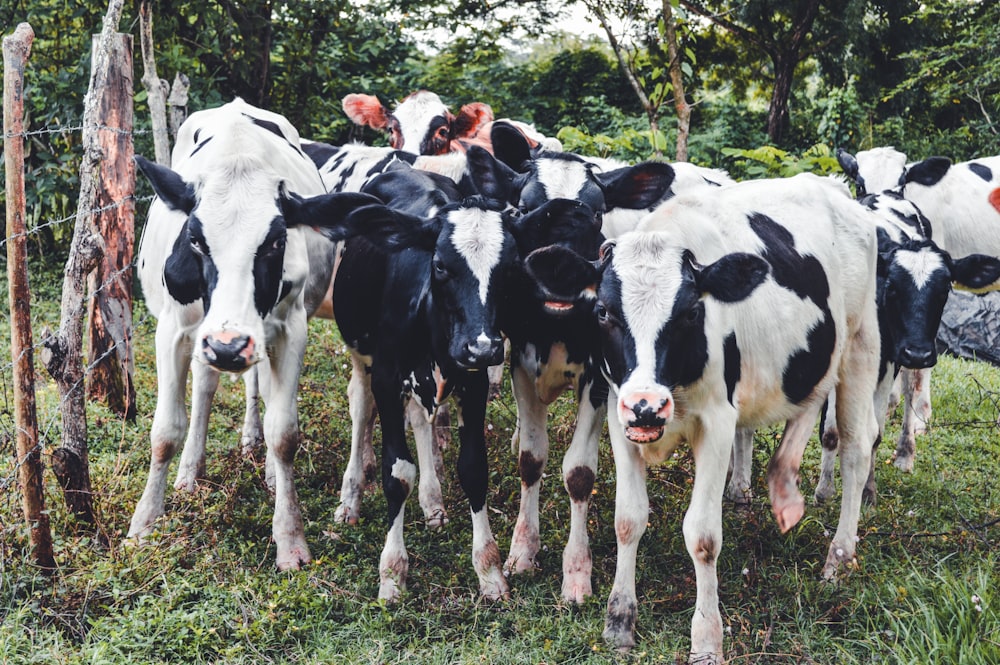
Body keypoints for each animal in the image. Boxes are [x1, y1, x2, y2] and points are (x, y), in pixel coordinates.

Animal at [131, 101, 380, 568]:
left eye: (276, 241)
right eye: (194, 238)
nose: (227, 346)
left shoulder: (289, 329)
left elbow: (284, 433)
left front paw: (290, 537)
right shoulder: (174, 329)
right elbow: (165, 431)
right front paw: (144, 523)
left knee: (257, 388)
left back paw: (262, 463)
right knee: (206, 387)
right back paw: (191, 472)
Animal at [540, 172, 884, 660]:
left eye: (690, 312)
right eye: (603, 312)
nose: (648, 405)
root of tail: (831, 186)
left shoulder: (718, 423)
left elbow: (702, 536)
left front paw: (706, 639)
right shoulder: (619, 415)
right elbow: (628, 519)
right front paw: (619, 620)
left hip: (860, 341)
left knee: (857, 447)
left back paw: (838, 555)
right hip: (813, 353)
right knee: (807, 403)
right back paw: (784, 490)